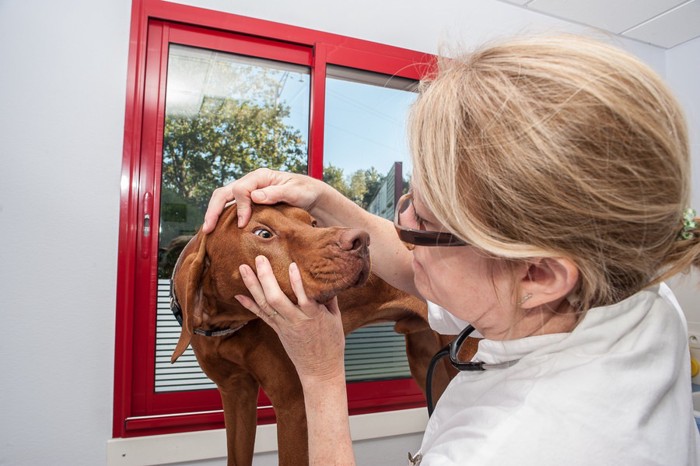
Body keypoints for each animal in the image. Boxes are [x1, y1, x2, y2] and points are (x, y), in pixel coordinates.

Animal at [170, 204, 460, 466]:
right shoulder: (235, 394)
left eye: (312, 223)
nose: (362, 240)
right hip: (426, 366)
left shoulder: (293, 405)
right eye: (263, 233)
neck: (227, 324)